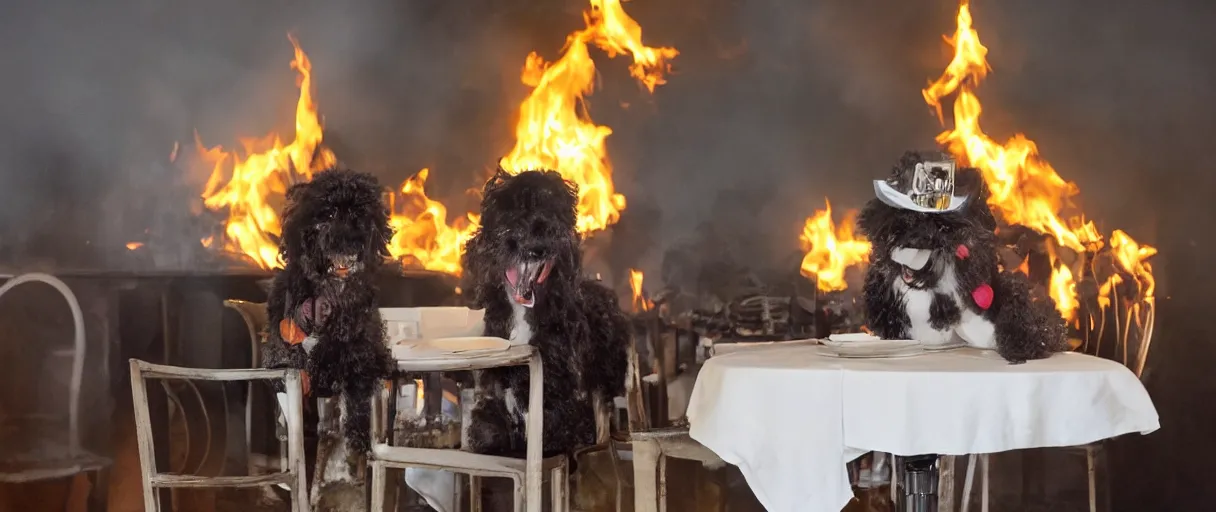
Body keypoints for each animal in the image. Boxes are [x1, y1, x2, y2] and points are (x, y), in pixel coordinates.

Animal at [261, 166, 393, 449]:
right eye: (329, 213)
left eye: (358, 214)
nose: (349, 242)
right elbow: (282, 356)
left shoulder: (367, 349)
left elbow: (351, 370)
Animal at [459, 167, 632, 459]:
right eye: (514, 210)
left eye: (555, 208)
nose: (539, 244)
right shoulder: (493, 383)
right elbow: (489, 424)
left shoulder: (556, 379)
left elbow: (554, 417)